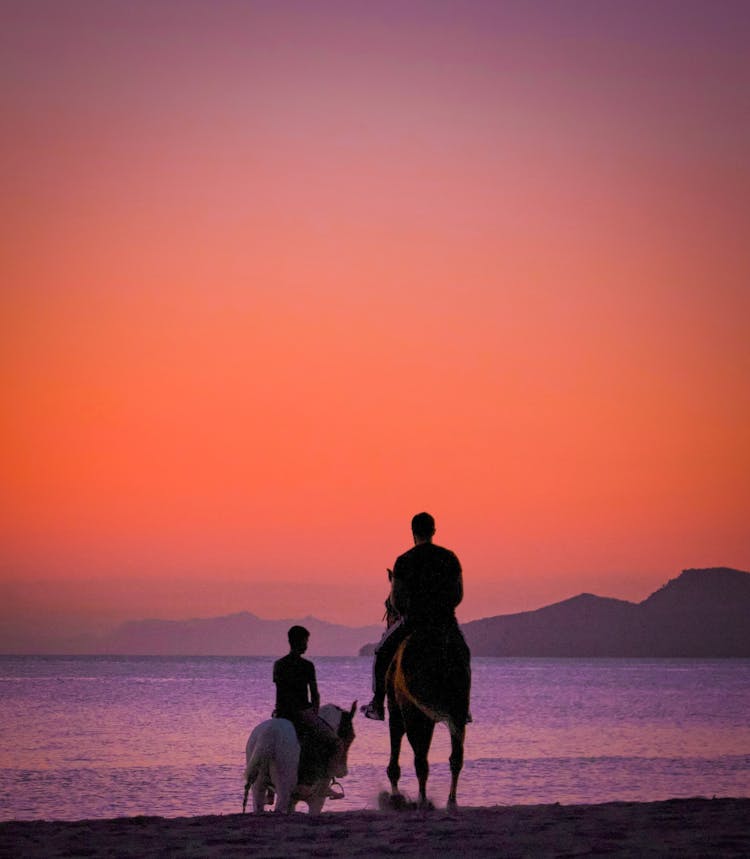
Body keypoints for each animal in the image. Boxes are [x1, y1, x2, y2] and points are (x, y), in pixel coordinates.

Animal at [388, 628, 470, 808]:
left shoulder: (397, 713)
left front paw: (395, 796)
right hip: (457, 713)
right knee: (456, 757)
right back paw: (451, 800)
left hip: (413, 714)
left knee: (420, 760)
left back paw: (422, 800)